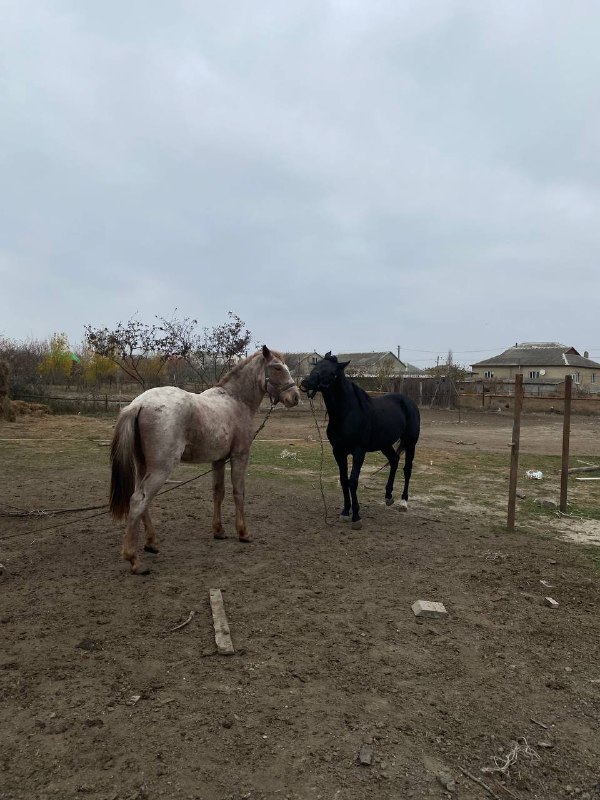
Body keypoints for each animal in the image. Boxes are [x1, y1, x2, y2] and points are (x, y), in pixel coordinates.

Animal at [109, 346, 299, 574]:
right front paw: (243, 533)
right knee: (139, 501)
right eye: (278, 368)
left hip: (143, 465)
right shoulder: (239, 456)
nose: (295, 397)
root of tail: (138, 404)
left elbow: (218, 493)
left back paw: (152, 543)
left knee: (142, 501)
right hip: (161, 469)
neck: (236, 401)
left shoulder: (218, 460)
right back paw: (134, 560)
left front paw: (219, 531)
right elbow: (238, 492)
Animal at [300, 353, 420, 529]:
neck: (347, 414)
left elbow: (353, 481)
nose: (305, 383)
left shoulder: (359, 451)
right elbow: (344, 480)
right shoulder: (338, 451)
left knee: (407, 469)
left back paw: (403, 502)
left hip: (410, 442)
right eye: (316, 366)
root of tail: (408, 401)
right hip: (385, 444)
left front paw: (356, 516)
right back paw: (388, 496)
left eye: (332, 373)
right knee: (394, 460)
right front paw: (345, 512)